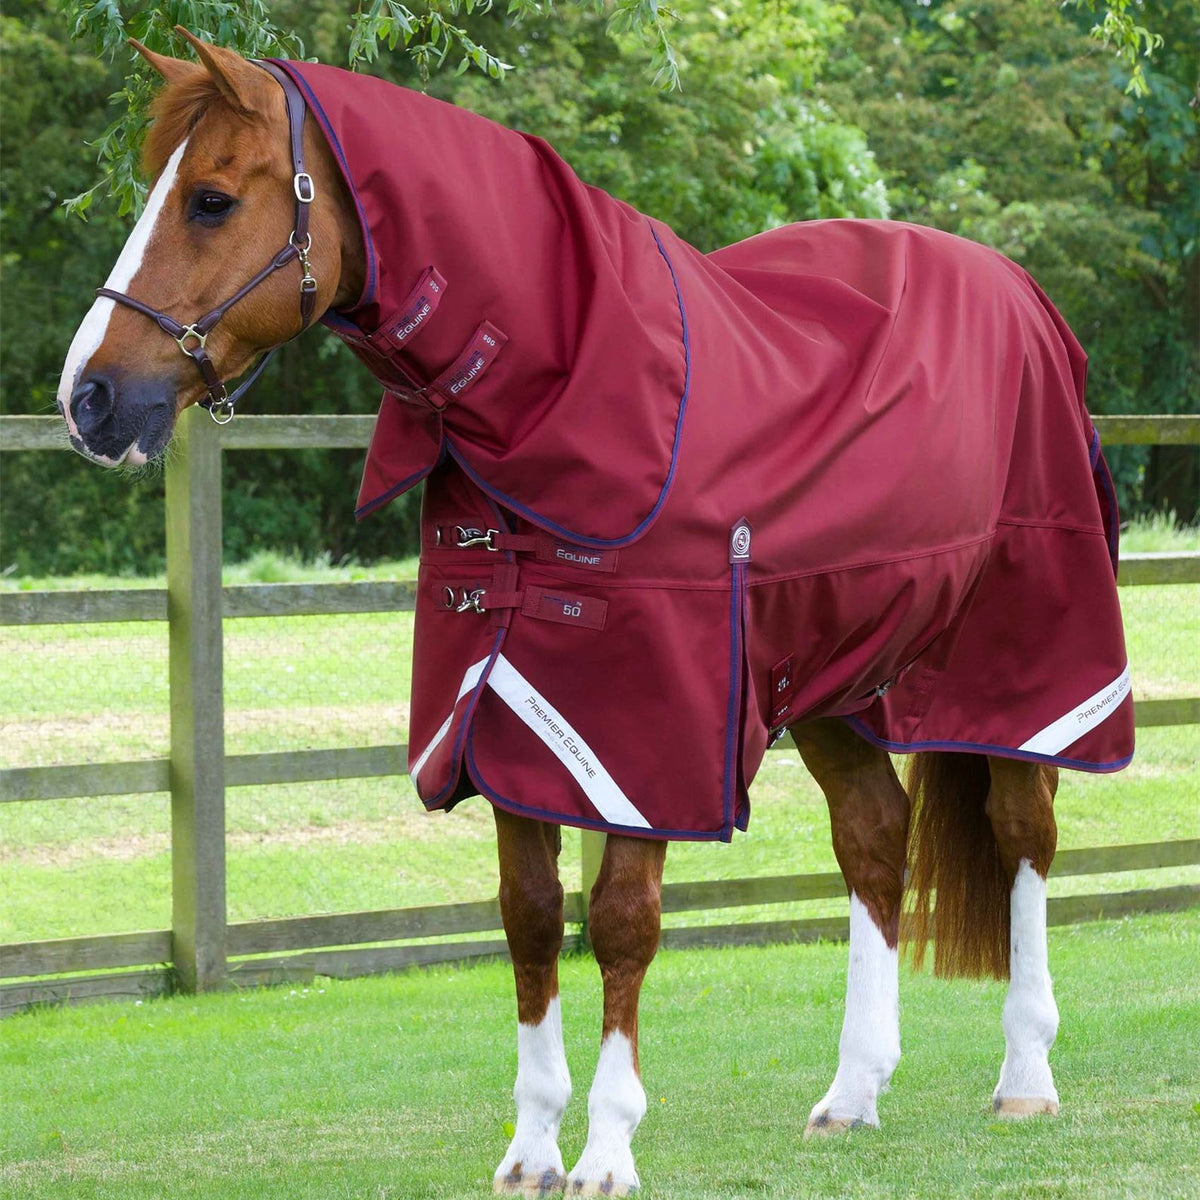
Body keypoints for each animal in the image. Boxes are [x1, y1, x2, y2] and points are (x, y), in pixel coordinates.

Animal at [57, 30, 1134, 1197]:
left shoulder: (645, 733)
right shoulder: (501, 712)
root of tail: (1019, 292)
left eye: (209, 201)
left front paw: (610, 1148)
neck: (562, 394)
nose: (88, 399)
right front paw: (531, 1148)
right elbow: (530, 921)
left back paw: (1026, 1076)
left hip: (1021, 657)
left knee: (1024, 832)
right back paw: (852, 1093)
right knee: (874, 837)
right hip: (831, 673)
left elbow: (620, 924)